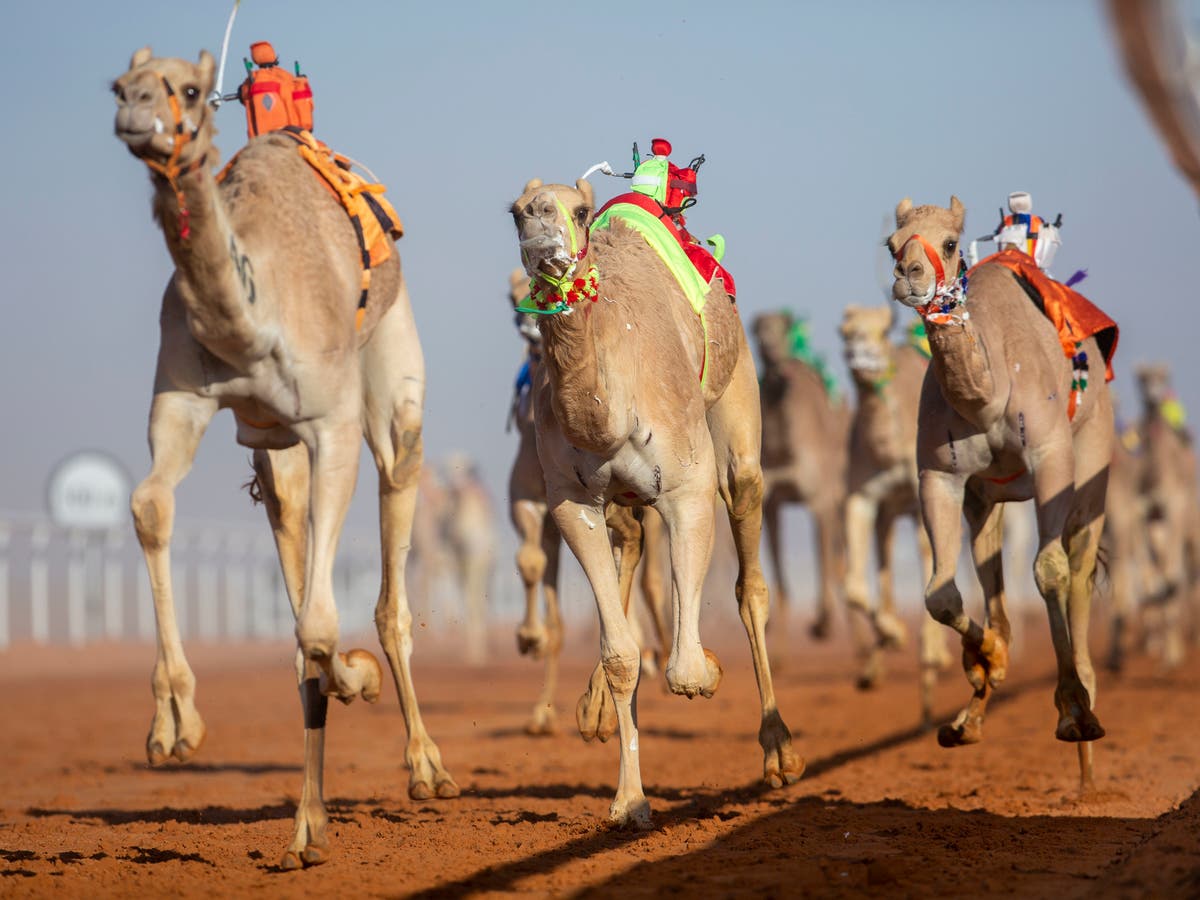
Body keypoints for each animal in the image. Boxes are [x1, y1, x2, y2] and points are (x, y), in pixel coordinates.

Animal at [511, 174, 801, 825]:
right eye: (514, 213)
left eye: (579, 211)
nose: (541, 224)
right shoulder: (570, 501)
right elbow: (620, 655)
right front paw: (629, 801)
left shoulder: (688, 485)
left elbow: (686, 670)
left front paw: (711, 671)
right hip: (620, 496)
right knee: (633, 542)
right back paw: (593, 710)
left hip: (736, 400)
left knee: (749, 569)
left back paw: (779, 753)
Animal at [753, 314, 849, 638]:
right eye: (758, 329)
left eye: (783, 328)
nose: (769, 346)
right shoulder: (771, 502)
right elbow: (780, 577)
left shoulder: (820, 500)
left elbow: (824, 561)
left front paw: (822, 623)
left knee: (839, 563)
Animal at [840, 304, 950, 724]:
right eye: (844, 332)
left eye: (883, 331)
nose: (860, 355)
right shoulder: (860, 496)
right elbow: (854, 586)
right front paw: (893, 633)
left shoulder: (923, 496)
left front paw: (931, 660)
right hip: (889, 515)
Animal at [892, 195, 1113, 787]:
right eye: (892, 244)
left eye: (950, 243)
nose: (909, 275)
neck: (988, 397)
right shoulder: (939, 475)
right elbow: (940, 595)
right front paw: (986, 661)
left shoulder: (1052, 455)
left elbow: (1050, 571)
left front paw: (1073, 711)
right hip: (986, 497)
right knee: (992, 573)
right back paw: (969, 716)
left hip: (1092, 471)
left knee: (1079, 571)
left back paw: (1088, 741)